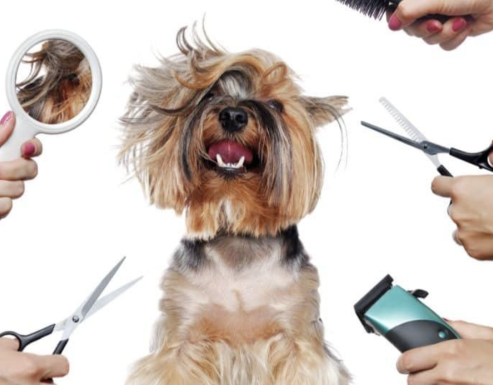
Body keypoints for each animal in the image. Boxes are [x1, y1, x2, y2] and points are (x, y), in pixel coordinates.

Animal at [120, 27, 348, 384]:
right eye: (209, 96)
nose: (233, 114)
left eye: (275, 104)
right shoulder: (180, 338)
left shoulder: (299, 340)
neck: (239, 233)